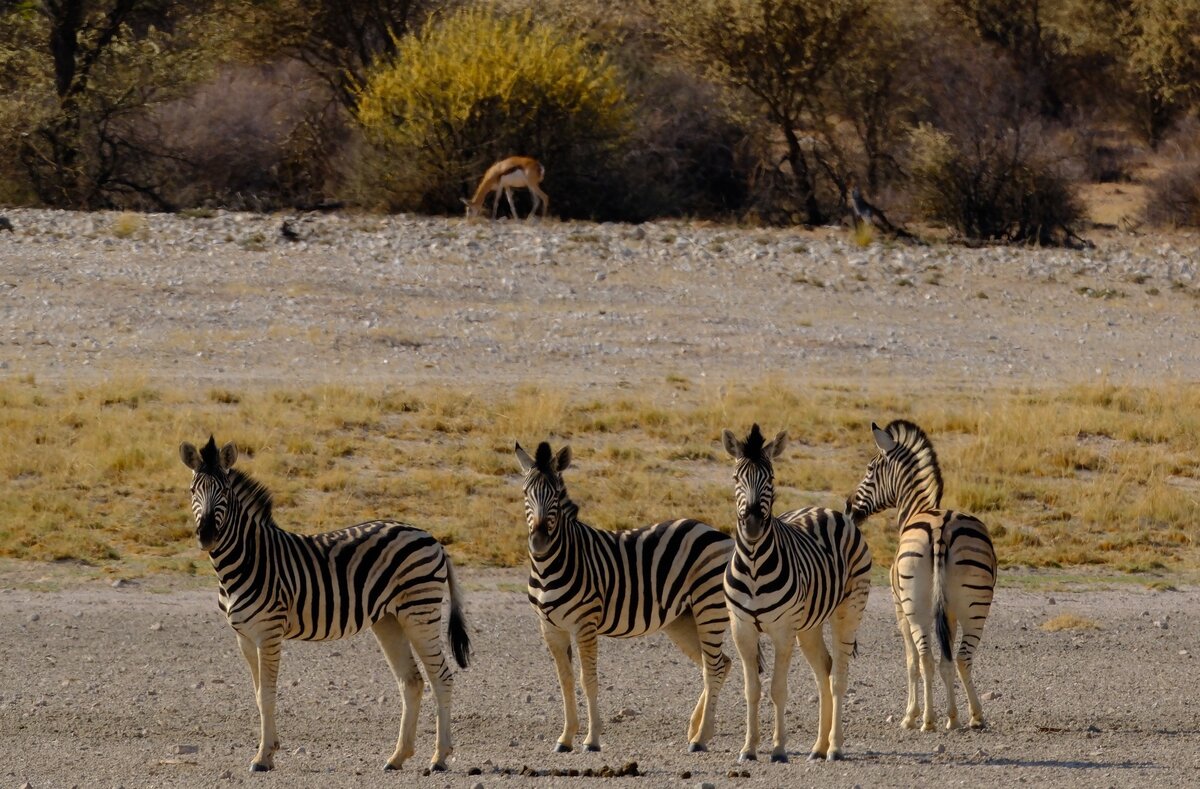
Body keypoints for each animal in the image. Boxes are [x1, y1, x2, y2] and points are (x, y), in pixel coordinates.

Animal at [179, 436, 471, 773]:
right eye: (192, 491)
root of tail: (432, 538)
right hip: (389, 620)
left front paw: (263, 757)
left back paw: (439, 758)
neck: (248, 558)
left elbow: (267, 694)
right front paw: (269, 749)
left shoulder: (269, 633)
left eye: (224, 491)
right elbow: (257, 694)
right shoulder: (244, 637)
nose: (207, 536)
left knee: (441, 678)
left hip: (419, 612)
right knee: (411, 681)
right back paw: (397, 757)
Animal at [515, 440, 734, 753]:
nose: (540, 541)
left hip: (709, 610)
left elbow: (588, 679)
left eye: (555, 494)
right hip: (682, 620)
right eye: (525, 493)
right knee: (720, 663)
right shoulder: (550, 628)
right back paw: (697, 730)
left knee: (713, 668)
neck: (551, 564)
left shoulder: (585, 624)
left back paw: (701, 738)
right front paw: (565, 738)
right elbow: (565, 681)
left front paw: (592, 739)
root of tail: (716, 532)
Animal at [721, 424, 872, 763]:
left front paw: (778, 749)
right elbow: (752, 690)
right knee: (824, 672)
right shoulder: (742, 629)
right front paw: (749, 748)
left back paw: (835, 747)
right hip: (809, 626)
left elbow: (778, 689)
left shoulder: (782, 631)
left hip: (848, 611)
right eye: (736, 477)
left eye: (771, 479)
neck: (753, 564)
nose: (752, 525)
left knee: (838, 677)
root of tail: (831, 511)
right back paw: (819, 747)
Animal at [846, 420, 997, 731]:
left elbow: (912, 662)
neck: (919, 508)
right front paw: (952, 715)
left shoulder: (899, 608)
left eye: (870, 469)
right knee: (961, 658)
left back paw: (927, 720)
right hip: (976, 605)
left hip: (914, 606)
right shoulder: (948, 613)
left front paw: (911, 714)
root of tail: (941, 527)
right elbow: (946, 660)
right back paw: (974, 716)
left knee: (925, 658)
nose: (848, 508)